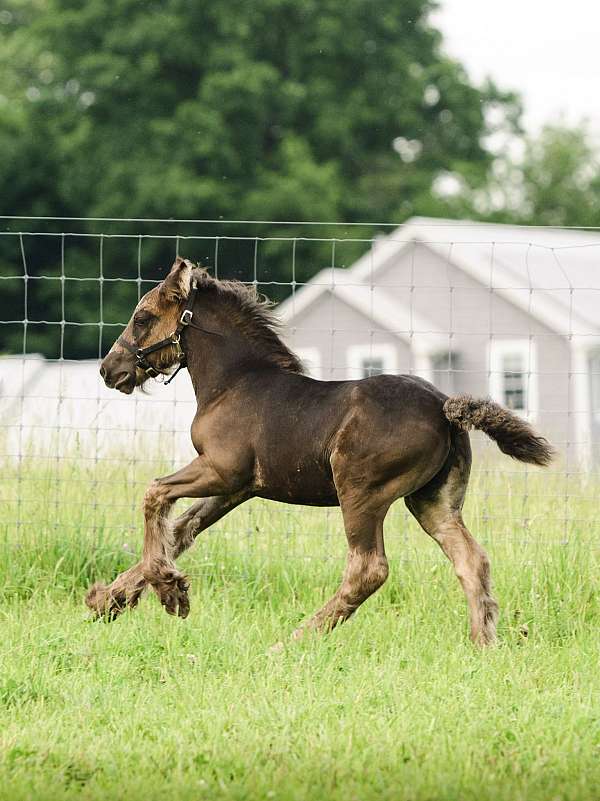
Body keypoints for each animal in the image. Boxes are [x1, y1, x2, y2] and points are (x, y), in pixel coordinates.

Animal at [86, 257, 553, 645]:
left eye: (142, 318)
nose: (109, 370)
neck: (233, 383)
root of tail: (444, 407)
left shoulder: (221, 469)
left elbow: (154, 494)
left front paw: (171, 593)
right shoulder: (239, 488)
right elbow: (182, 530)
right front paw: (109, 599)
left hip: (361, 492)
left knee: (368, 569)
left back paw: (292, 641)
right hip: (433, 501)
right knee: (471, 560)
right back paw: (483, 645)